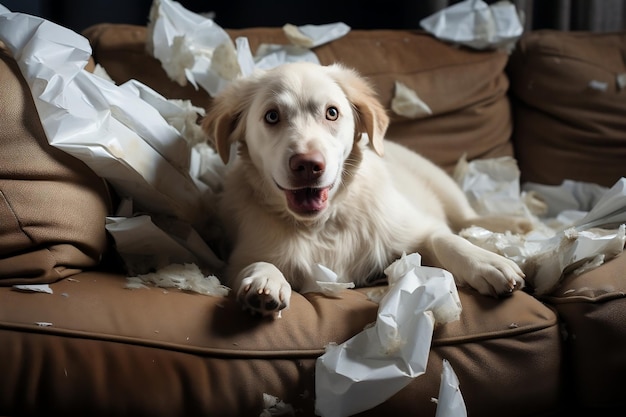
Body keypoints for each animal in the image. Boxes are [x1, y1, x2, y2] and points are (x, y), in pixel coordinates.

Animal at [202, 61, 528, 316]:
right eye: (271, 116)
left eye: (332, 113)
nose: (308, 165)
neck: (323, 226)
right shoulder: (239, 257)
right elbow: (255, 262)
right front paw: (264, 281)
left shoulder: (413, 229)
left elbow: (444, 239)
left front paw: (486, 262)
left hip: (443, 184)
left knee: (468, 218)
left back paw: (516, 224)